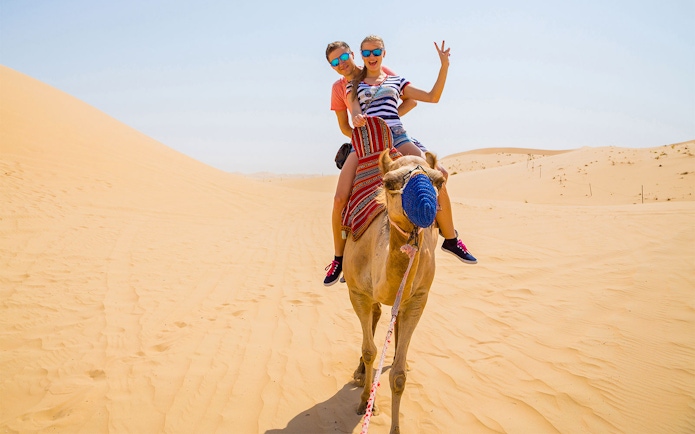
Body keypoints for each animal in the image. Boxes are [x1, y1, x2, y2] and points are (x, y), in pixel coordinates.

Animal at [343, 148, 445, 434]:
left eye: (439, 181)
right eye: (389, 183)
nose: (426, 207)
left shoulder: (418, 297)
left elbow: (398, 376)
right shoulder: (358, 292)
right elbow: (370, 351)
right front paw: (365, 403)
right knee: (376, 317)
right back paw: (360, 374)